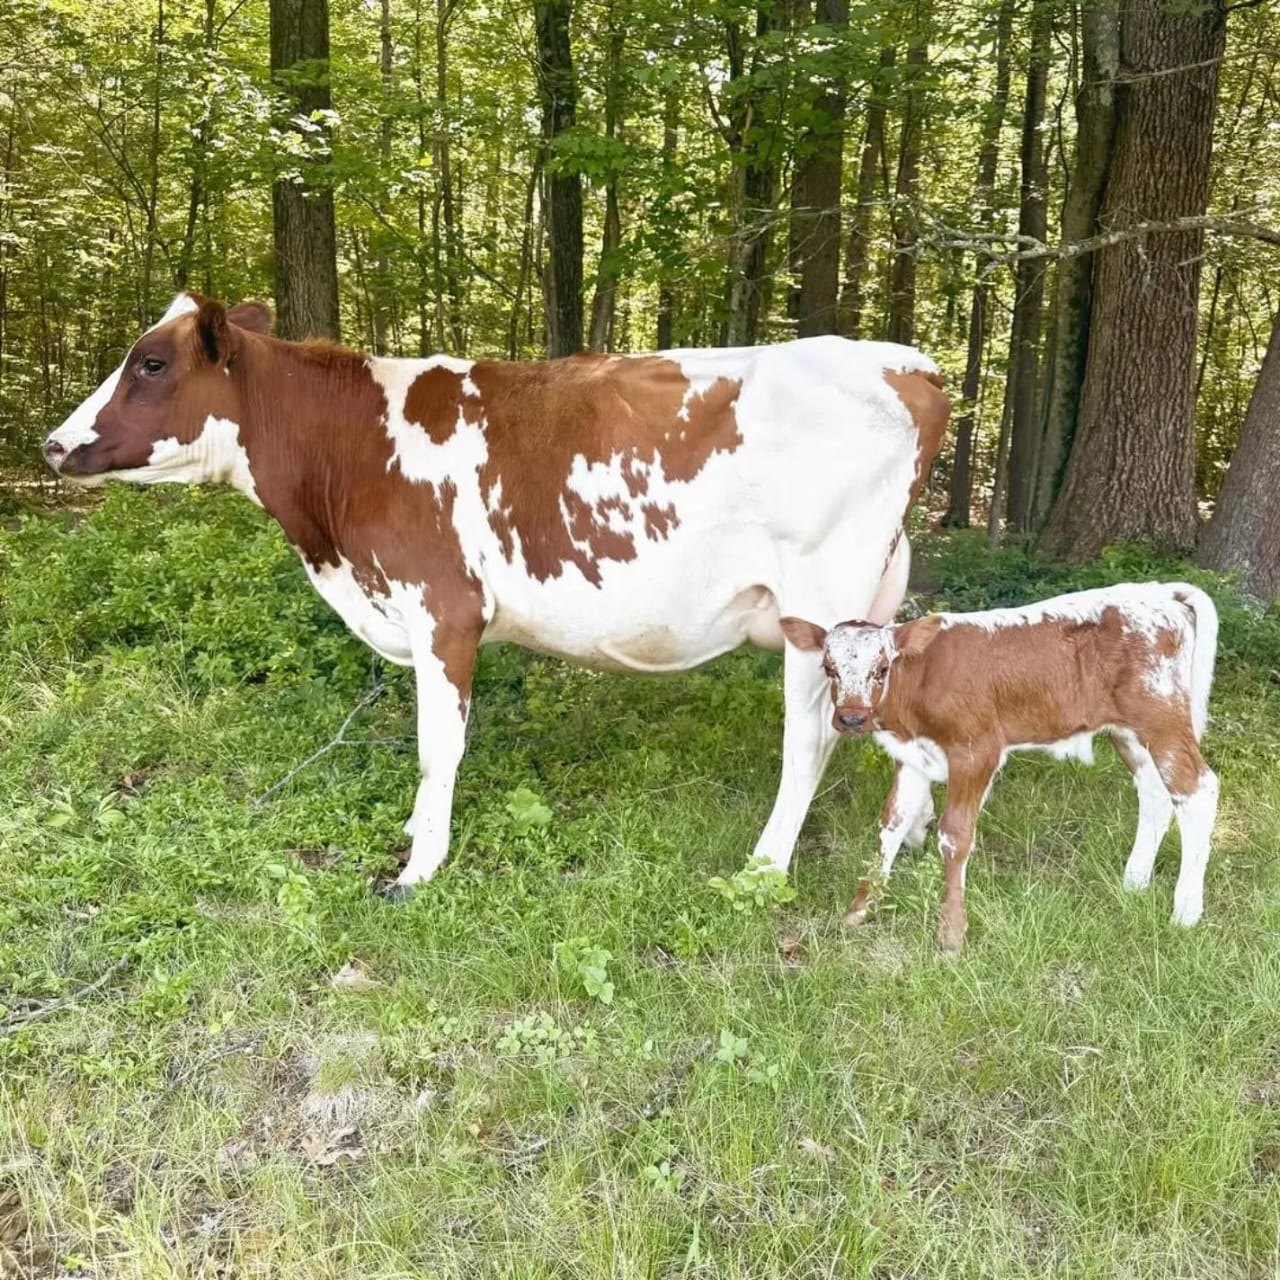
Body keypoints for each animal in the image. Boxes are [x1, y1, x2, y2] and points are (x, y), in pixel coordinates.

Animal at [43, 294, 949, 897]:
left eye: (151, 362)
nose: (53, 444)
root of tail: (904, 362)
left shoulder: (442, 609)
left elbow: (437, 747)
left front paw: (418, 867)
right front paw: (418, 832)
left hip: (818, 612)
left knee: (810, 740)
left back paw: (763, 868)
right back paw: (912, 836)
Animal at [781, 583, 1219, 953]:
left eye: (881, 669)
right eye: (829, 668)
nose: (852, 718)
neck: (918, 685)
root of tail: (1162, 591)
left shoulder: (977, 749)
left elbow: (955, 835)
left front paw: (951, 934)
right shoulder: (914, 756)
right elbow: (891, 824)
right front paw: (860, 908)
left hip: (1161, 718)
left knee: (1197, 790)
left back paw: (1186, 911)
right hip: (1128, 731)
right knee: (1155, 793)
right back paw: (1134, 881)